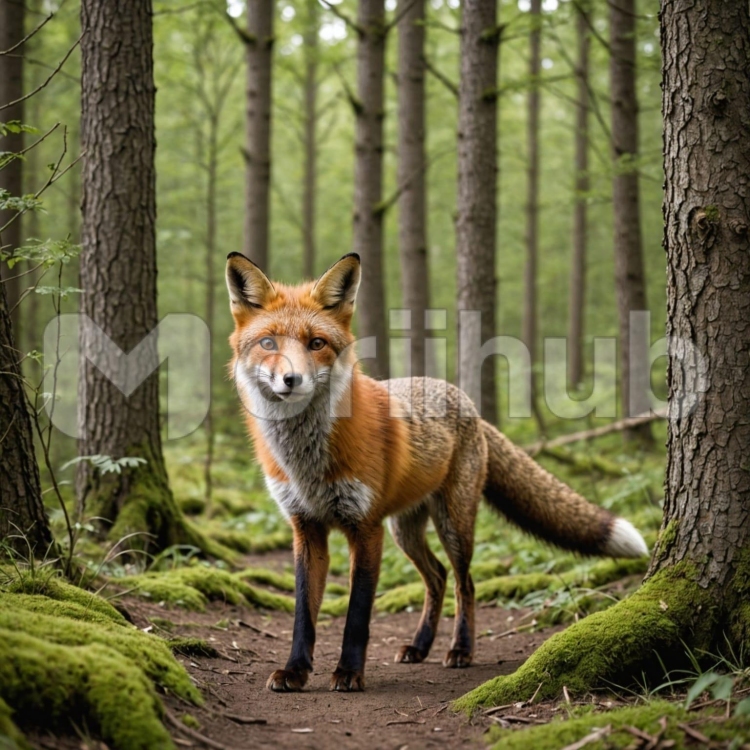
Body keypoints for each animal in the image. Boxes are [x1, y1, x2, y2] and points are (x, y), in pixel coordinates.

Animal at [225, 251, 648, 694]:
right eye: (268, 343)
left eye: (317, 344)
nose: (291, 379)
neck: (305, 463)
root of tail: (467, 402)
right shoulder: (306, 527)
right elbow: (303, 613)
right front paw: (295, 670)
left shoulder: (366, 527)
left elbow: (357, 614)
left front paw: (349, 672)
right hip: (405, 530)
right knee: (438, 577)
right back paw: (419, 646)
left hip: (452, 524)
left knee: (465, 583)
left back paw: (460, 650)